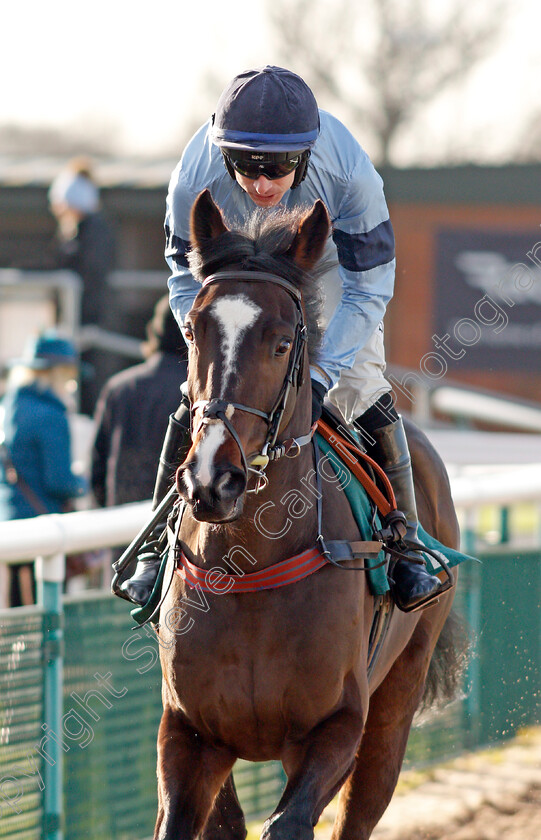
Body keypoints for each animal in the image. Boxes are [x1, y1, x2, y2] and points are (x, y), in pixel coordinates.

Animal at [154, 190, 462, 840]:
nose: (212, 480)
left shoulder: (336, 727)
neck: (249, 566)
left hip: (396, 700)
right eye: (193, 331)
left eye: (280, 342)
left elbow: (288, 823)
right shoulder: (188, 731)